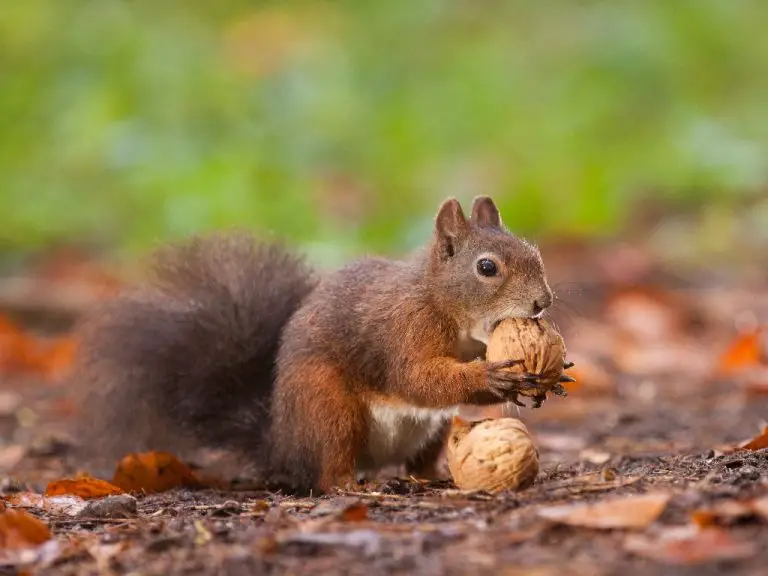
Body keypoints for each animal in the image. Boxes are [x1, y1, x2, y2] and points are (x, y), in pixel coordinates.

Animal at [71, 196, 559, 494]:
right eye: (486, 268)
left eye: (536, 253)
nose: (543, 302)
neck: (443, 306)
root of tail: (282, 443)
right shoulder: (405, 330)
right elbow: (417, 378)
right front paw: (491, 376)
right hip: (327, 407)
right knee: (328, 469)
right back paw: (354, 485)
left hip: (431, 430)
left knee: (417, 460)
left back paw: (433, 475)